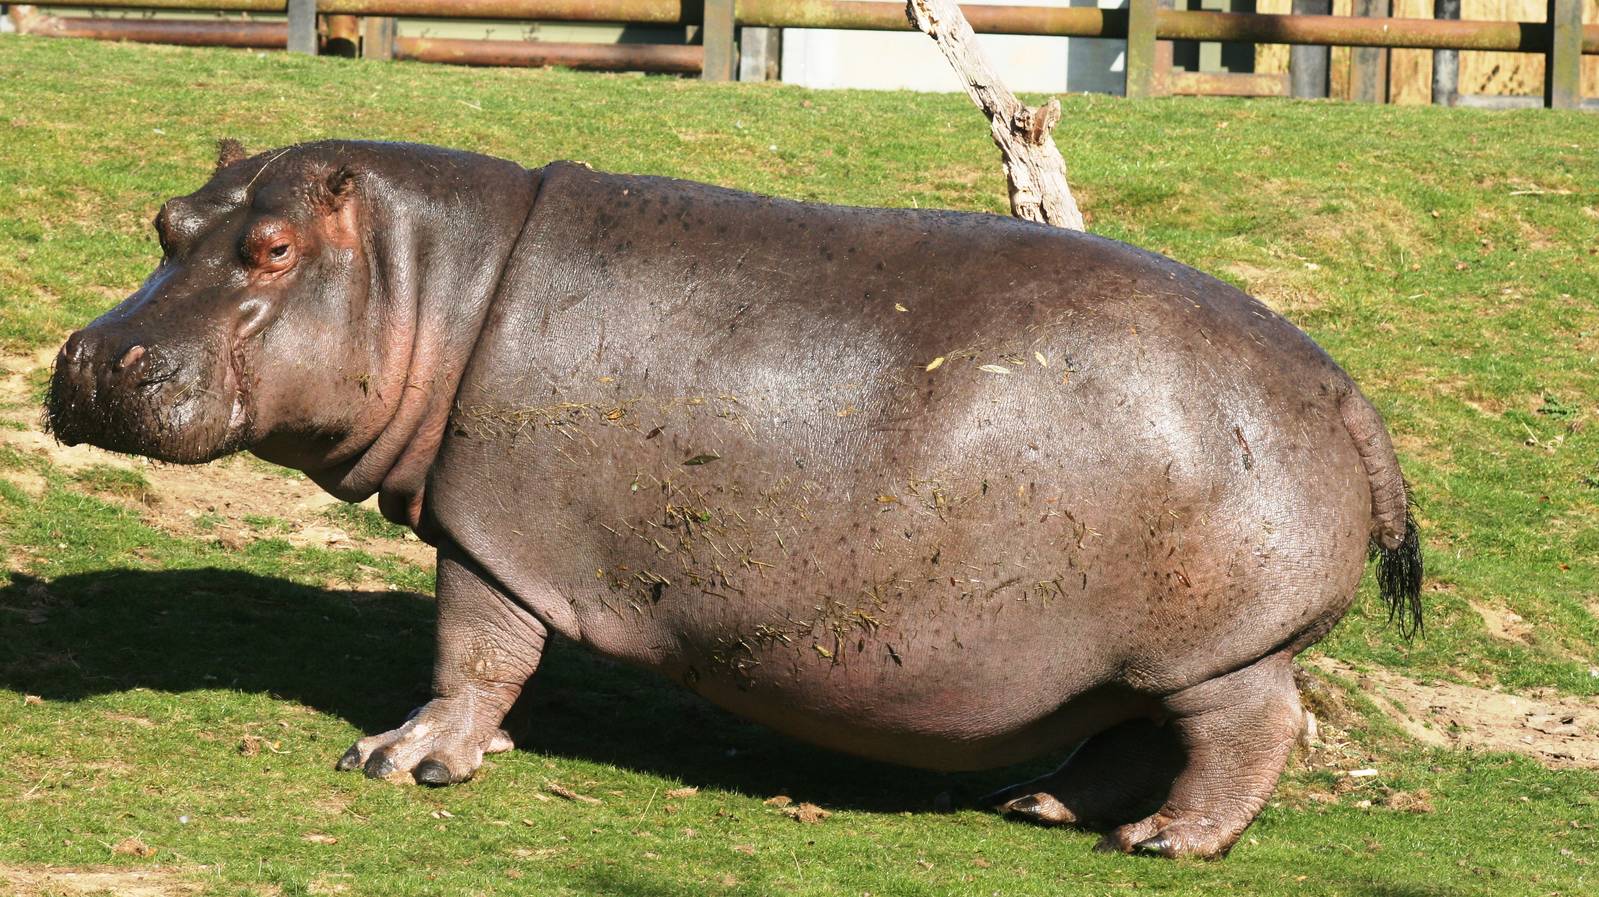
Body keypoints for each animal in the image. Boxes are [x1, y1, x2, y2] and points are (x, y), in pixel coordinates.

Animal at [48, 140, 1421, 858]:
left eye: (274, 249)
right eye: (167, 220)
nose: (91, 358)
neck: (431, 277)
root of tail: (1343, 385)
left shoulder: (492, 534)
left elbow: (473, 652)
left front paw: (403, 761)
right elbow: (489, 662)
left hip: (1218, 647)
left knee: (1248, 731)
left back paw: (1163, 844)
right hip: (1123, 655)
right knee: (1132, 734)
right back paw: (1042, 807)